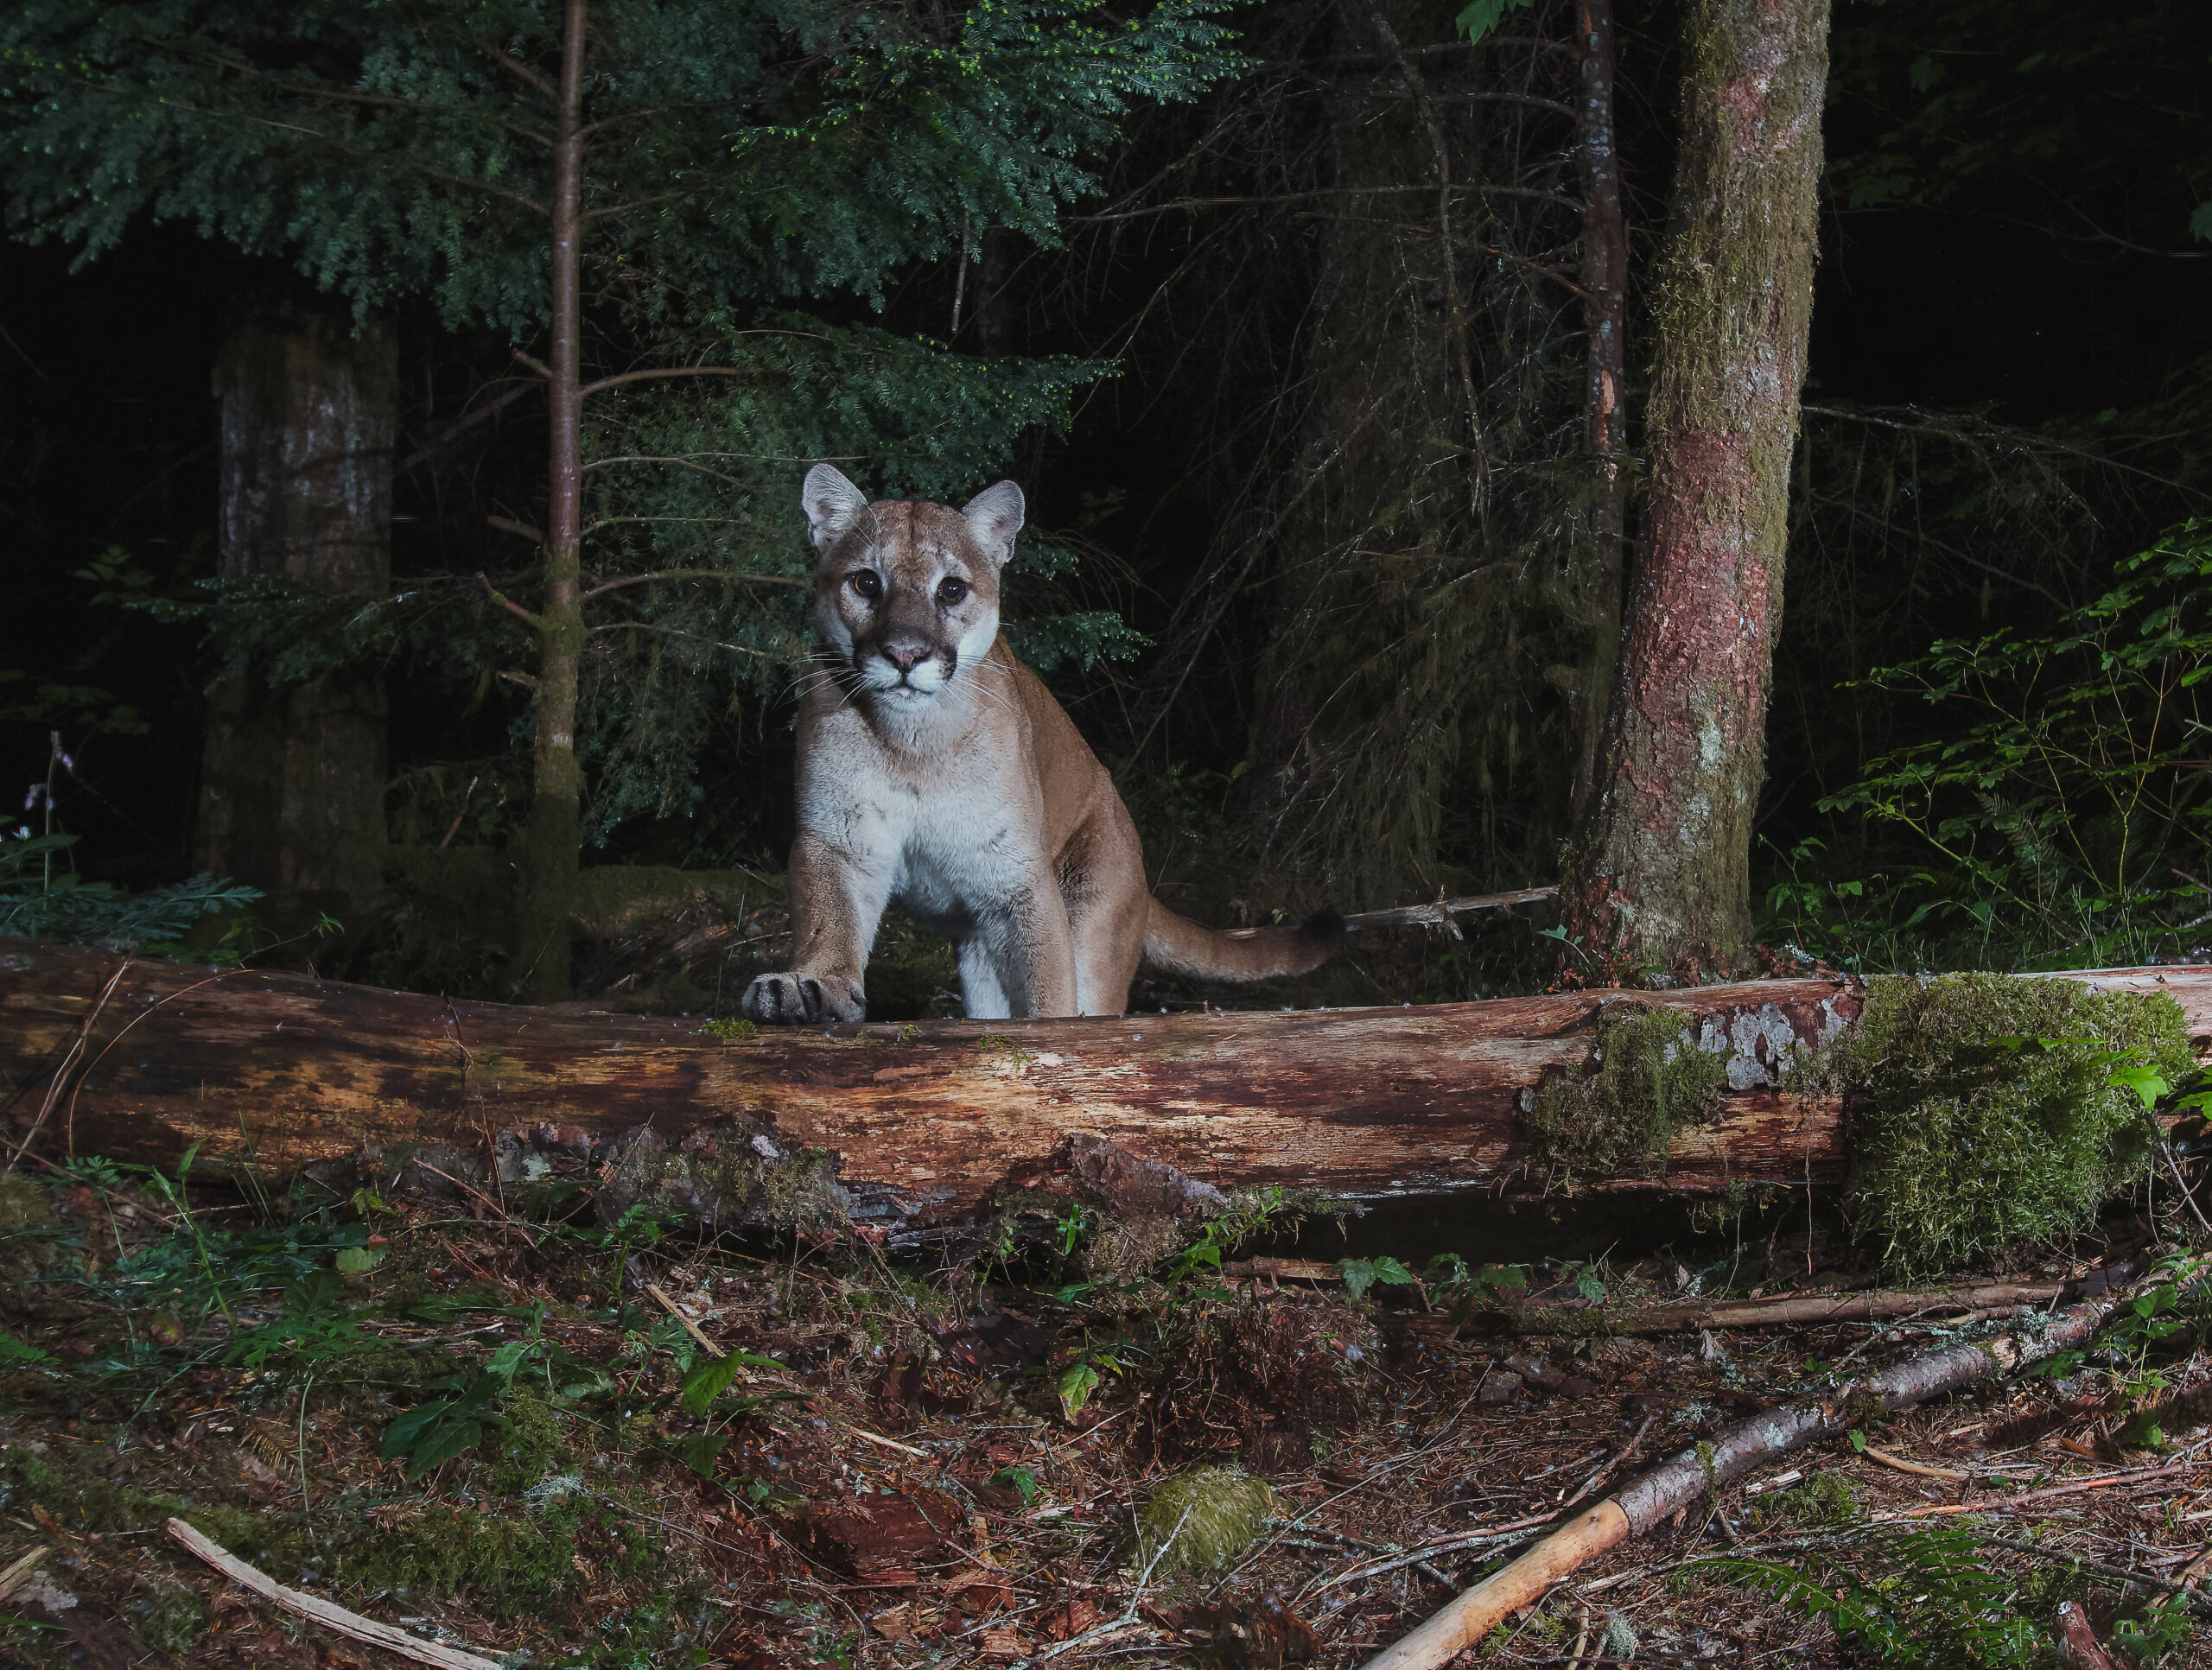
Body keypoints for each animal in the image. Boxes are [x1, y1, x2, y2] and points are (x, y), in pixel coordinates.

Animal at [739, 464, 1344, 1025]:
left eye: (951, 589)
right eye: (866, 582)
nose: (906, 654)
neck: (913, 742)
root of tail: (1141, 874)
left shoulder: (1019, 877)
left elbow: (1049, 987)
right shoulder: (839, 837)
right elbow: (829, 921)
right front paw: (809, 986)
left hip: (1091, 911)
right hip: (981, 959)